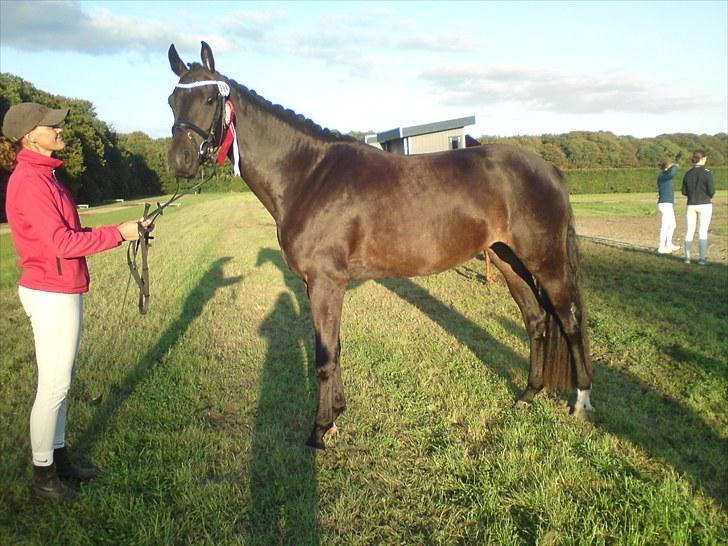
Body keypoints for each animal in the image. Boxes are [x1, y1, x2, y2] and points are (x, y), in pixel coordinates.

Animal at [168, 41, 596, 446]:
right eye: (172, 100)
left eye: (209, 99)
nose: (180, 160)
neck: (309, 175)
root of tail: (549, 169)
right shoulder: (320, 285)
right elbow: (335, 348)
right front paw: (337, 414)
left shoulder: (325, 282)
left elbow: (324, 357)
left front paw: (320, 431)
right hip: (508, 259)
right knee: (536, 320)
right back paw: (529, 394)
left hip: (547, 261)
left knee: (569, 320)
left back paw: (580, 401)